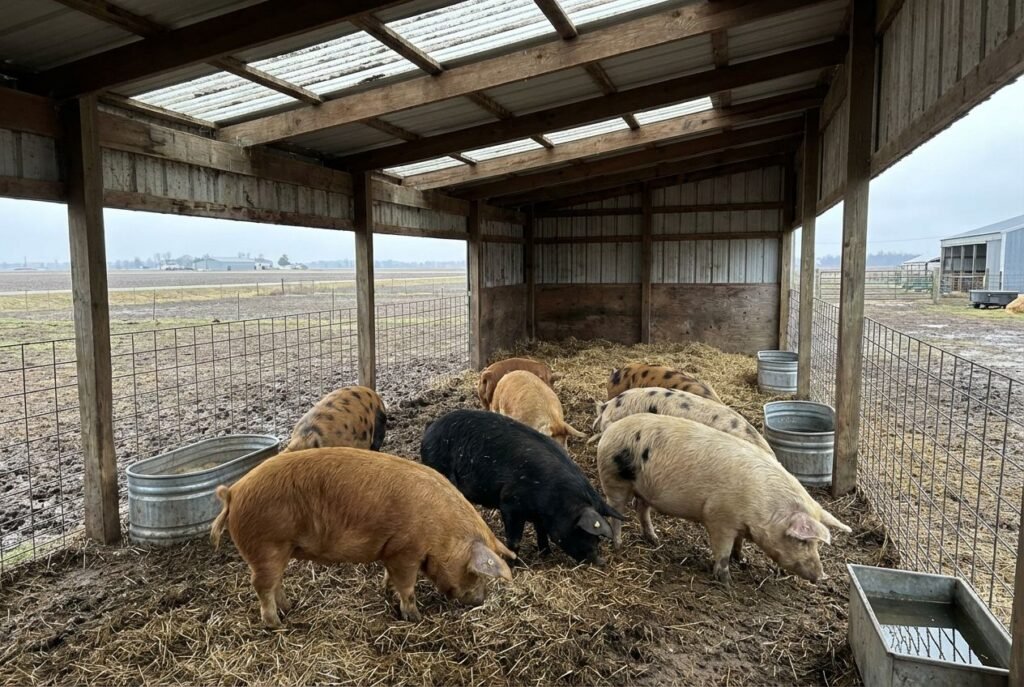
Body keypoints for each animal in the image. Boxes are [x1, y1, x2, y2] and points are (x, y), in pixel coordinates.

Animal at [210, 448, 515, 627]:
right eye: (475, 572)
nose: (480, 600)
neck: (442, 532)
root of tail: (233, 492)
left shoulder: (392, 551)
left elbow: (390, 577)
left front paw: (386, 591)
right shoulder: (406, 551)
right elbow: (407, 586)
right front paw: (415, 617)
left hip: (277, 550)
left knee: (275, 583)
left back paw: (289, 608)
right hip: (266, 546)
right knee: (261, 585)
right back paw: (276, 624)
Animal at [420, 409, 623, 565]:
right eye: (587, 534)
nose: (602, 562)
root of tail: (429, 429)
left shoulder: (540, 515)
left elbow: (541, 532)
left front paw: (546, 554)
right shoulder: (510, 505)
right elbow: (515, 539)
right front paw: (515, 564)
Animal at [596, 414, 850, 585]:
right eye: (803, 541)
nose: (822, 576)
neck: (763, 506)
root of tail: (610, 429)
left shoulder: (740, 523)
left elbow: (739, 543)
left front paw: (744, 560)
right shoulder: (719, 517)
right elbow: (723, 551)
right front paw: (727, 582)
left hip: (644, 489)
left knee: (642, 509)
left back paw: (654, 539)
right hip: (614, 480)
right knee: (616, 513)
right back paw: (618, 545)